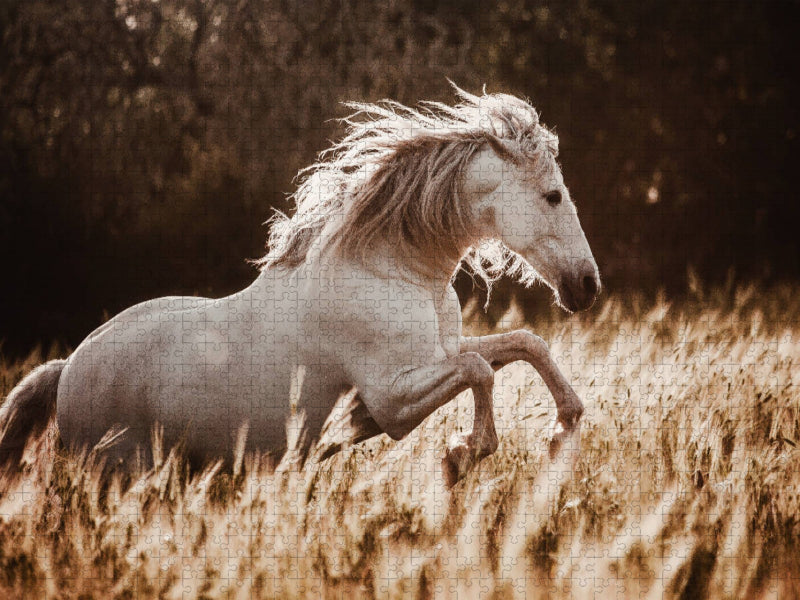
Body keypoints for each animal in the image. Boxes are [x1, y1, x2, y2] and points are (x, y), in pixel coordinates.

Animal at [0, 84, 600, 483]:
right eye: (552, 195)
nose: (587, 285)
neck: (390, 271)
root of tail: (67, 370)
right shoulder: (393, 398)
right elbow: (481, 370)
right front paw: (464, 452)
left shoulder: (437, 355)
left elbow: (522, 344)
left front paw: (563, 425)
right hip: (124, 477)